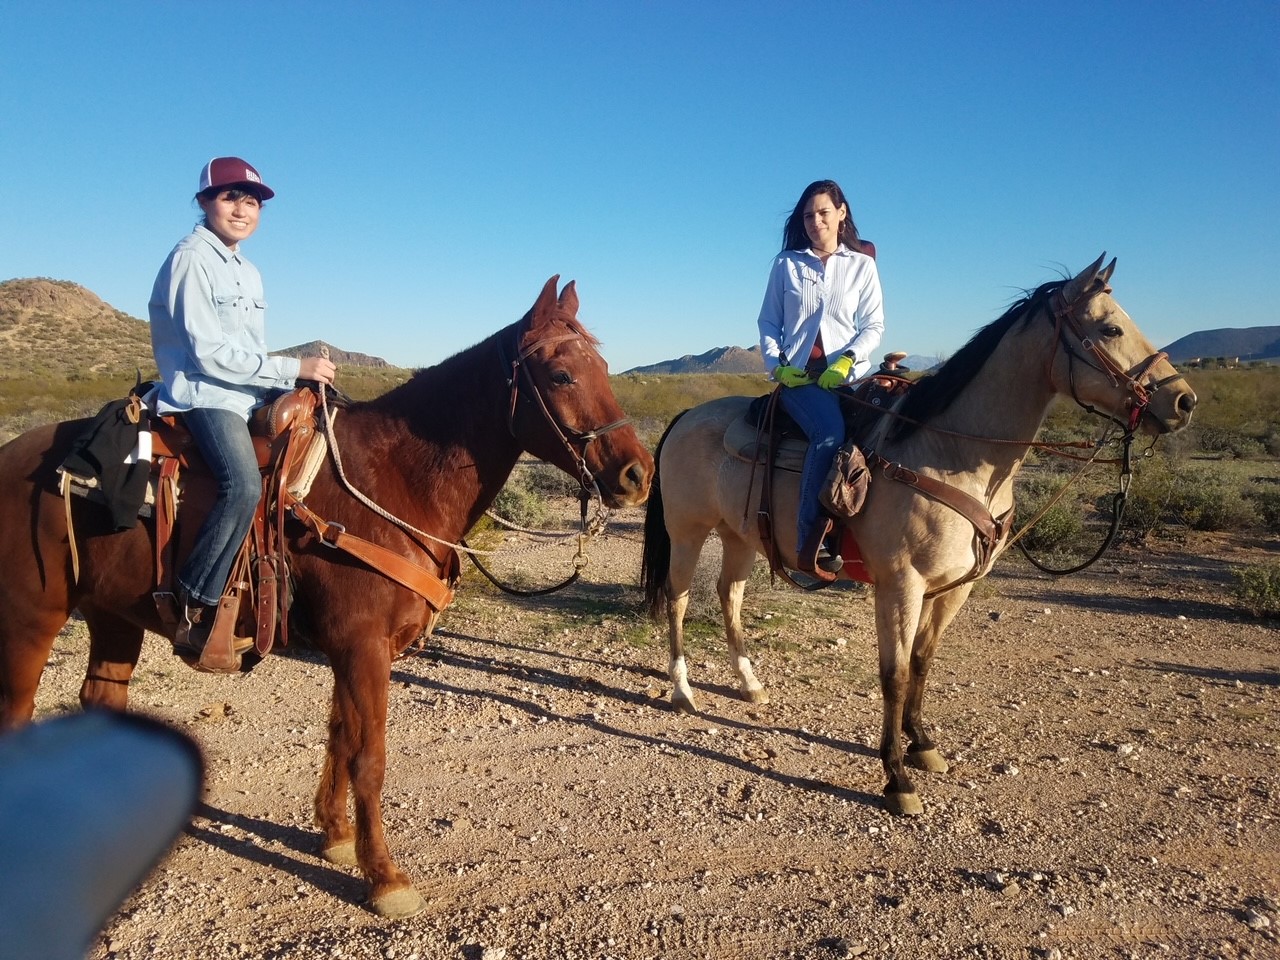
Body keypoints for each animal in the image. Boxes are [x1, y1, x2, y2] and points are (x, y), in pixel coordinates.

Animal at [0, 276, 650, 916]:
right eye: (561, 375)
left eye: (604, 366)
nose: (636, 475)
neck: (393, 480)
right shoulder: (362, 647)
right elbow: (370, 757)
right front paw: (385, 877)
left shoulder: (354, 648)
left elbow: (340, 736)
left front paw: (335, 837)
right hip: (31, 622)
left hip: (112, 616)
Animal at [640, 253, 1198, 819]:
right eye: (1110, 328)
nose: (1183, 401)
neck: (952, 454)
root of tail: (688, 416)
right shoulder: (899, 584)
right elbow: (894, 674)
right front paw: (896, 777)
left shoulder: (954, 587)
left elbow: (923, 662)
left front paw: (922, 743)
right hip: (688, 532)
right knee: (679, 599)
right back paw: (682, 691)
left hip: (739, 536)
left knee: (728, 596)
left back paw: (750, 684)